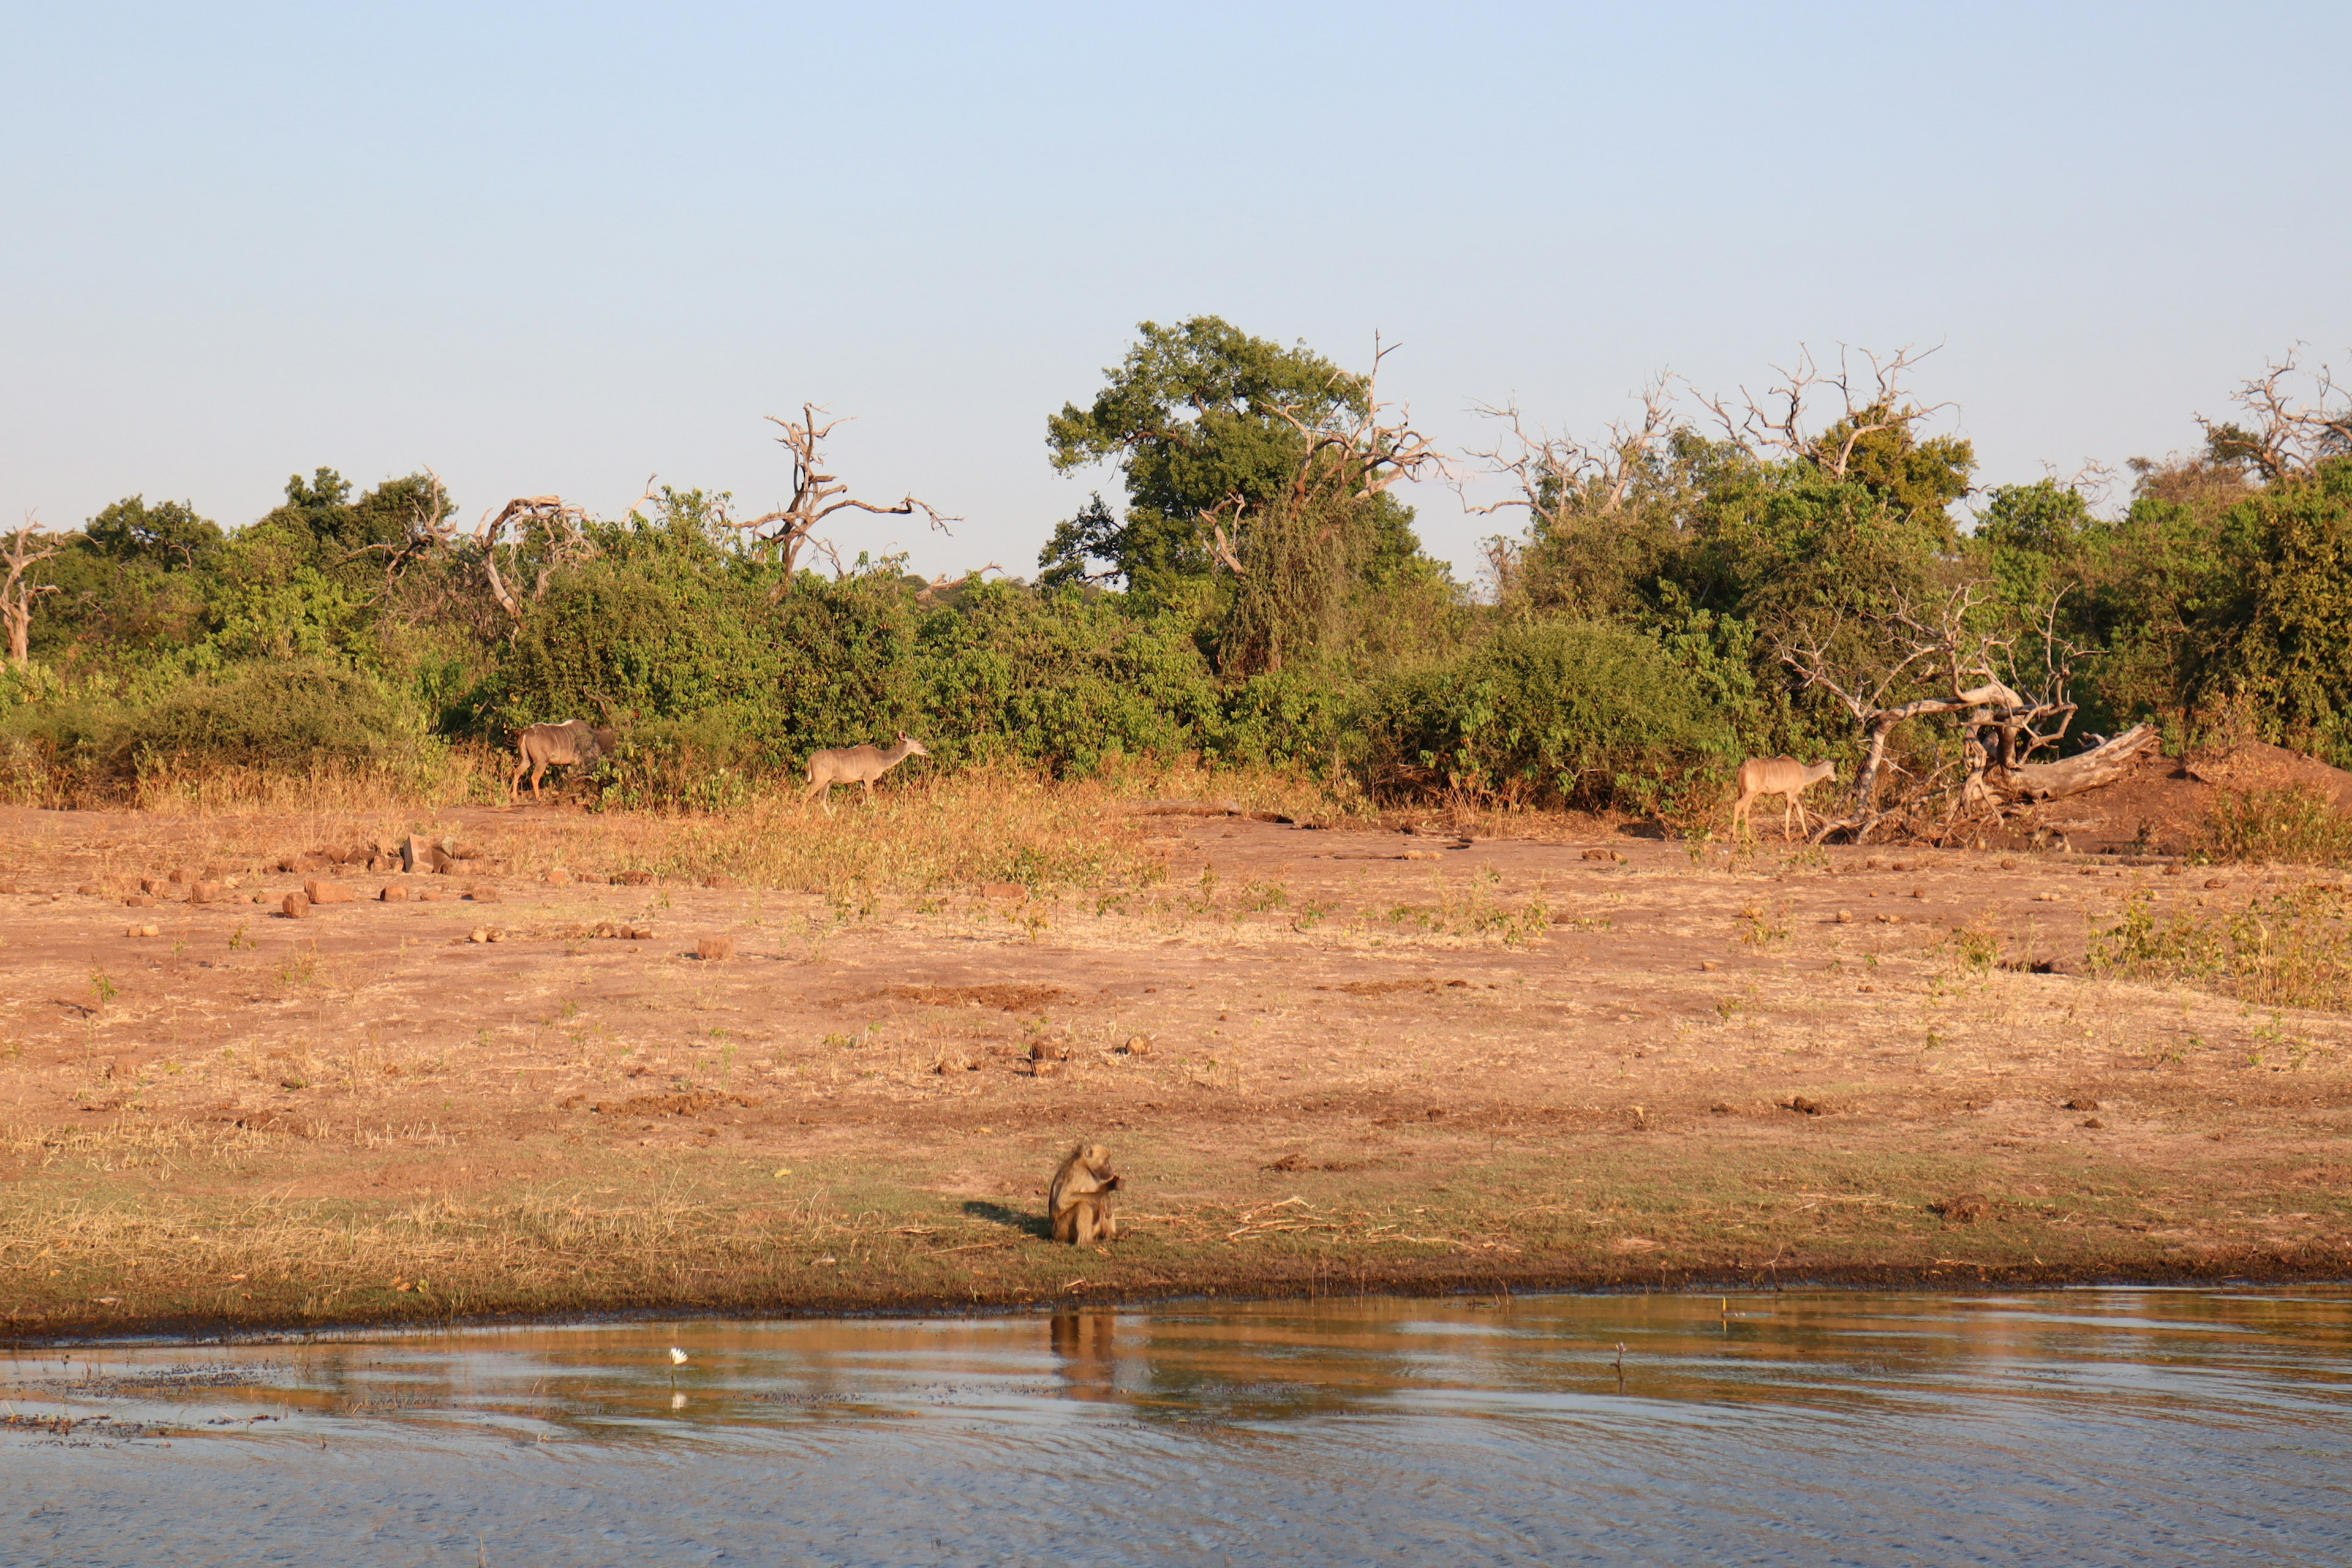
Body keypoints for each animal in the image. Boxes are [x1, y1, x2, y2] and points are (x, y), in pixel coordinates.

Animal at [799, 733, 926, 809]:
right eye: (917, 743)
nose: (926, 750)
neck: (881, 758)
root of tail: (810, 760)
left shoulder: (862, 781)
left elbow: (865, 801)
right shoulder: (868, 778)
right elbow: (871, 798)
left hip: (828, 781)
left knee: (822, 799)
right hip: (820, 779)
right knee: (806, 795)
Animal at [1731, 752, 1834, 842]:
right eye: (1833, 768)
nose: (1835, 778)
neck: (1803, 772)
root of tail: (1742, 768)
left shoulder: (1792, 795)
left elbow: (1800, 811)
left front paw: (1807, 835)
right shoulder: (1790, 793)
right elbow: (1788, 812)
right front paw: (1788, 837)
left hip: (1744, 793)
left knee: (1746, 808)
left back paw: (1748, 837)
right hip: (1750, 792)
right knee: (1738, 805)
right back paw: (1734, 837)